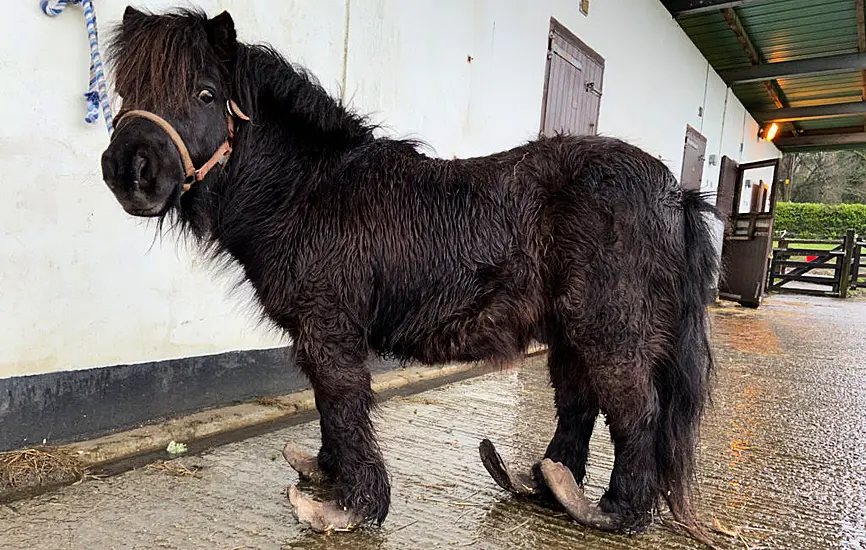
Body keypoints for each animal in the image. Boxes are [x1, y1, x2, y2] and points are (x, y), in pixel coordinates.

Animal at [98, 6, 720, 544]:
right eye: (125, 91)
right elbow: (328, 406)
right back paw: (546, 482)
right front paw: (328, 474)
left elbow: (344, 404)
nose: (128, 172)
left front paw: (349, 507)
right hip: (570, 331)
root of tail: (676, 193)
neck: (308, 189)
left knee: (635, 409)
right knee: (578, 402)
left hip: (610, 331)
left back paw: (615, 512)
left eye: (205, 93)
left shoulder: (330, 330)